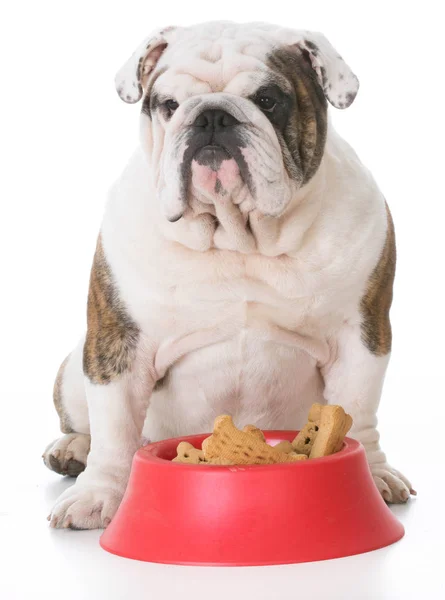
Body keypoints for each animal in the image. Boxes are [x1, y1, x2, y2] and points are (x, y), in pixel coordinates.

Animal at [44, 21, 412, 528]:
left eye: (269, 100)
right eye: (168, 104)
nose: (212, 116)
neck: (237, 235)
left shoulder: (361, 335)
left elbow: (358, 408)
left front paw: (372, 474)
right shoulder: (119, 341)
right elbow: (115, 426)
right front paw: (98, 495)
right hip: (72, 370)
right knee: (89, 423)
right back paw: (72, 449)